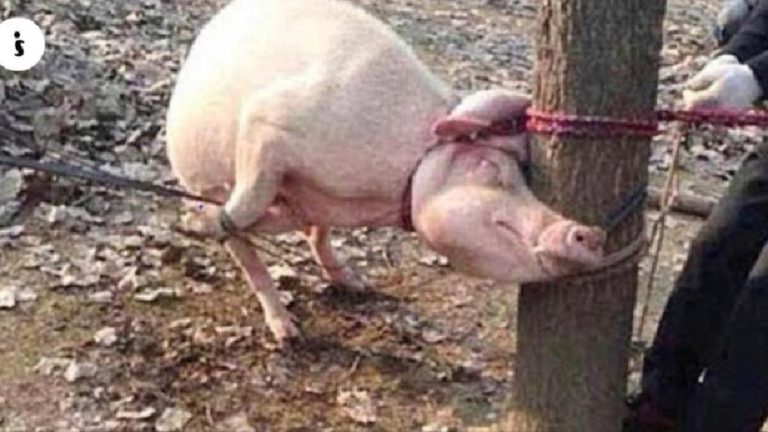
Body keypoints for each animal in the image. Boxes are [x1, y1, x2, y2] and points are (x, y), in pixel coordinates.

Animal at [165, 0, 607, 345]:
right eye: (489, 166)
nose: (592, 233)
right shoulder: (268, 122)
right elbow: (250, 197)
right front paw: (194, 221)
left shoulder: (311, 198)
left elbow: (290, 222)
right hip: (197, 171)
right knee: (246, 252)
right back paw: (288, 333)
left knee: (307, 236)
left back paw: (353, 283)